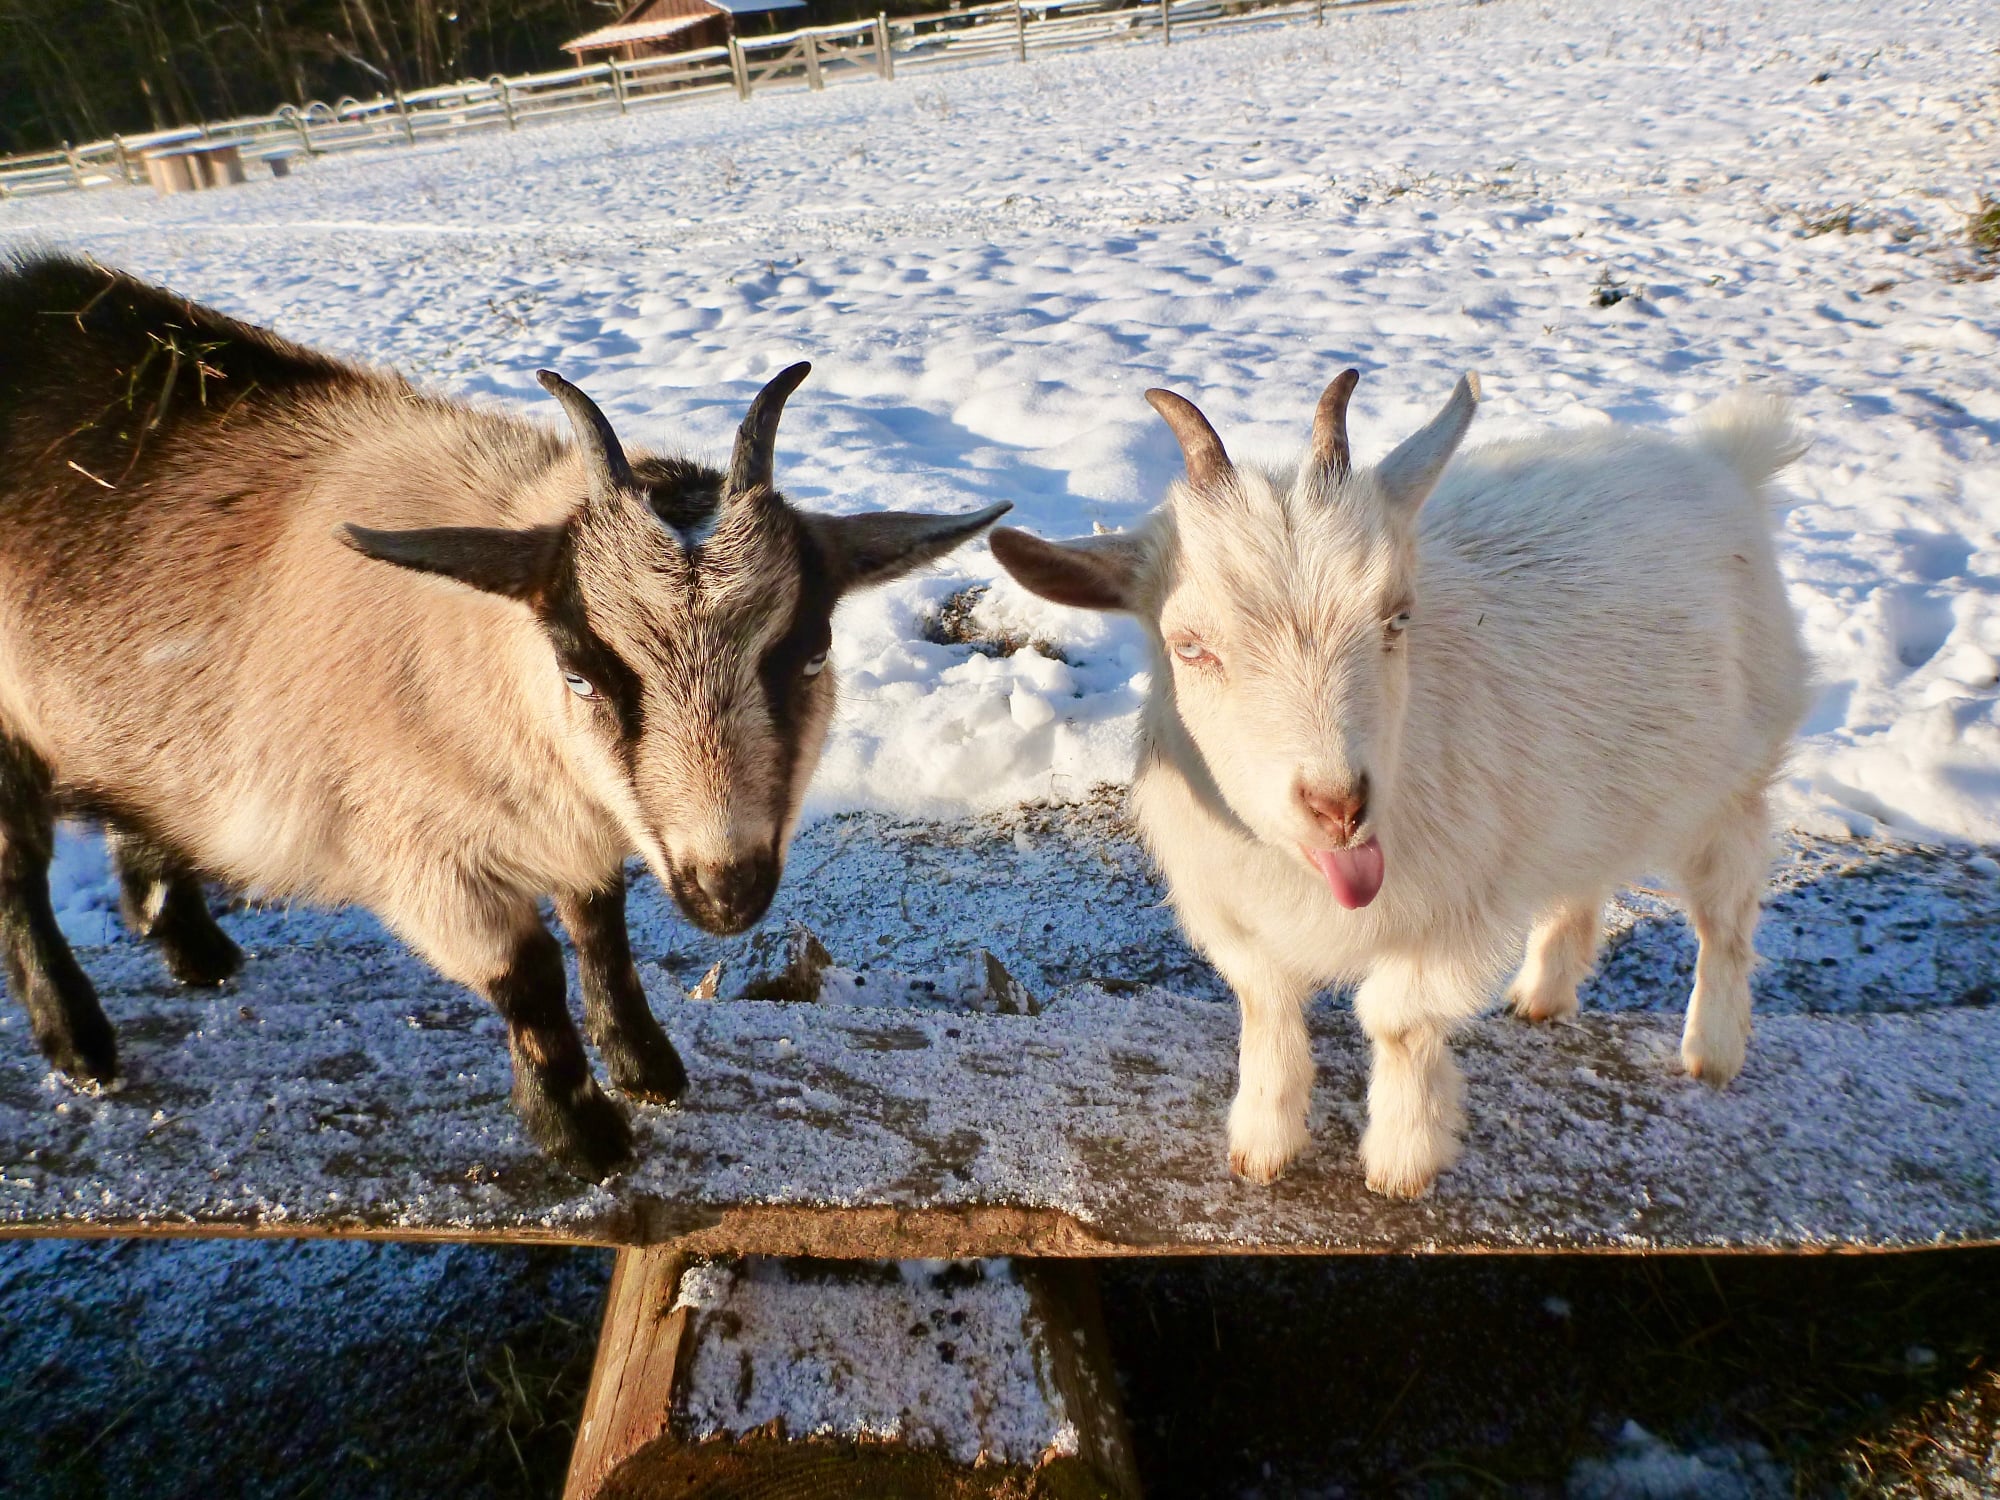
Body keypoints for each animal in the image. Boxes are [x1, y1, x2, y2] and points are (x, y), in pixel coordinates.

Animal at [0, 253, 1008, 1184]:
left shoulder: (578, 826)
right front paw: (585, 1136)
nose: (727, 892)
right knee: (19, 873)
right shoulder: (415, 856)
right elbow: (528, 975)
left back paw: (193, 947)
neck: (483, 660)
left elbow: (601, 932)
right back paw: (80, 1045)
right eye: (581, 672)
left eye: (809, 651)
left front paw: (647, 1069)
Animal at [996, 374, 1816, 1200]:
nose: (1338, 805)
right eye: (1190, 647)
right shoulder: (1233, 911)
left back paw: (1711, 1051)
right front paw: (1261, 1147)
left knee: (1726, 913)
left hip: (1729, 783)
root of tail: (1723, 461)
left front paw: (1401, 1162)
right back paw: (1543, 995)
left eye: (1397, 617)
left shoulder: (1453, 909)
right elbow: (1266, 1007)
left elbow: (1398, 1022)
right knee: (1582, 877)